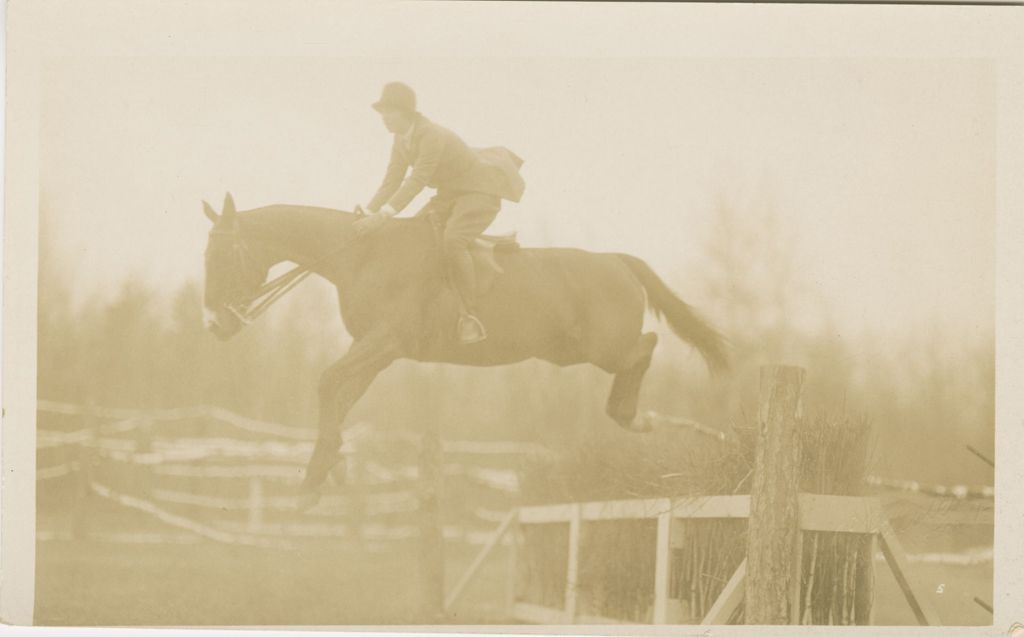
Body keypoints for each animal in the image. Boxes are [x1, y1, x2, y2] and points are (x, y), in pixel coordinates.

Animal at [201, 193, 729, 503]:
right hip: (570, 352)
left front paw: (322, 467)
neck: (362, 256)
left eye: (222, 255)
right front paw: (324, 467)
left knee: (646, 345)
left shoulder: (385, 340)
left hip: (603, 347)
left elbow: (328, 381)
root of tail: (616, 260)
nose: (214, 323)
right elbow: (339, 394)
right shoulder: (376, 351)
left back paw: (636, 415)